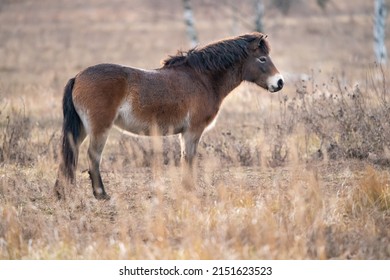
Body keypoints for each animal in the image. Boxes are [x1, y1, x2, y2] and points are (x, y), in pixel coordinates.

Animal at [54, 32, 284, 199]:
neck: (202, 79)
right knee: (93, 156)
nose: (280, 82)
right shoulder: (193, 131)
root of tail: (78, 77)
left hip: (82, 129)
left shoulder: (185, 133)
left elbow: (184, 158)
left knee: (70, 152)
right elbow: (189, 158)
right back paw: (101, 195)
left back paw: (62, 192)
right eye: (262, 59)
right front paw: (190, 189)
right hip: (99, 128)